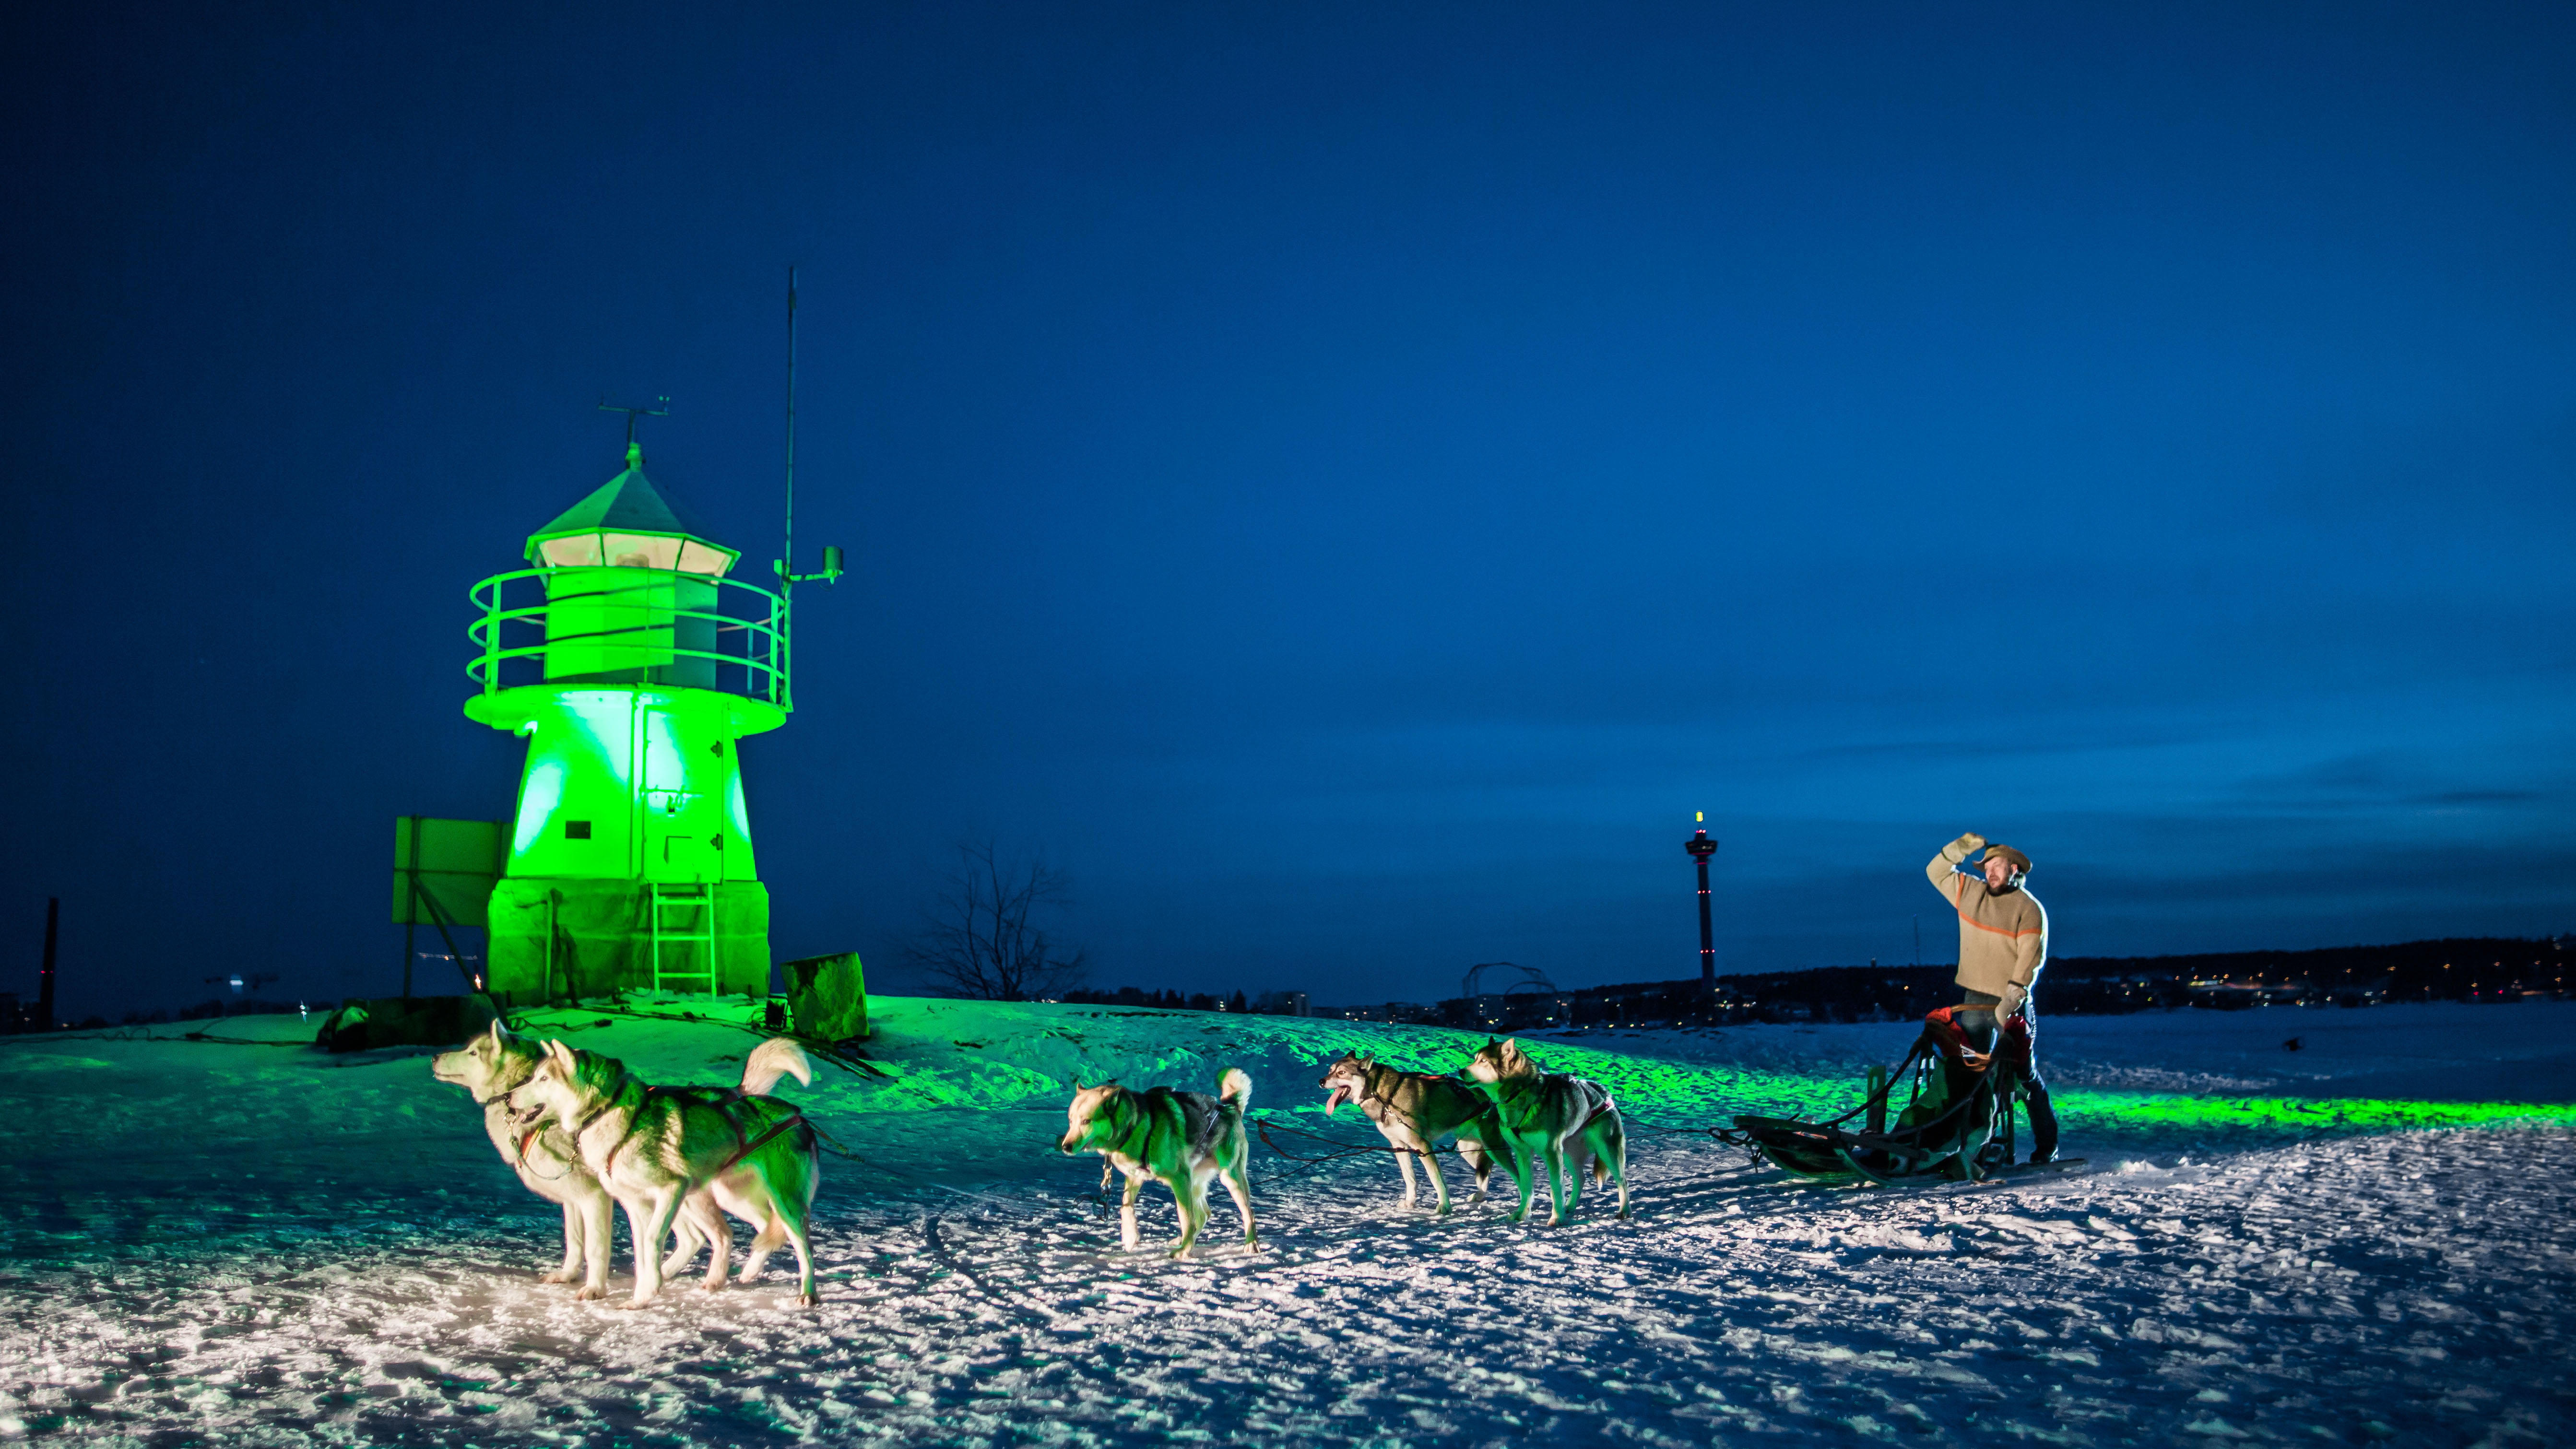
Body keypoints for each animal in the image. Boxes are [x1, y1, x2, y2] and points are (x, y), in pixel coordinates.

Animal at [427, 1024, 721, 1297]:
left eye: (473, 1052)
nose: (434, 1056)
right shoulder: (573, 1199)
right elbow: (575, 1242)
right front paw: (568, 1275)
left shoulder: (594, 1197)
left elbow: (595, 1248)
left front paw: (595, 1289)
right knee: (692, 1239)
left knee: (696, 1237)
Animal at [507, 1039, 819, 1307]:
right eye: (535, 1077)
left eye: (544, 1079)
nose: (508, 1098)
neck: (612, 1115)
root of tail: (796, 1114)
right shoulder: (635, 1203)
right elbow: (642, 1250)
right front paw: (642, 1296)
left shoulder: (672, 1190)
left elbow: (651, 1240)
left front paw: (648, 1290)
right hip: (727, 1196)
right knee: (759, 1229)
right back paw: (739, 1274)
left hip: (784, 1202)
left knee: (802, 1246)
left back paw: (808, 1294)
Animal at [1056, 1071, 1257, 1266]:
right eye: (1071, 1121)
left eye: (1086, 1121)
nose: (1065, 1146)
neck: (1136, 1126)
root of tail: (1229, 1107)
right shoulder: (1136, 1176)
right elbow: (1126, 1206)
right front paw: (1130, 1236)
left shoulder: (1179, 1179)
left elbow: (1185, 1217)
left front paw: (1183, 1251)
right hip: (1195, 1183)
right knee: (1204, 1214)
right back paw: (1185, 1240)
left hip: (1229, 1178)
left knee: (1246, 1212)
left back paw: (1250, 1244)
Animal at [1319, 1050, 1514, 1220]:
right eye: (1330, 1071)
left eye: (1342, 1073)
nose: (1321, 1081)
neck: (1386, 1095)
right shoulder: (1399, 1146)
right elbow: (1409, 1178)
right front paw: (1410, 1203)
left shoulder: (1422, 1146)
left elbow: (1436, 1179)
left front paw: (1445, 1206)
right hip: (1468, 1149)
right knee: (1486, 1169)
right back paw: (1480, 1195)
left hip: (1494, 1149)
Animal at [1473, 1039, 1628, 1230]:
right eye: (1475, 1059)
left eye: (1484, 1061)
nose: (1462, 1071)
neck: (1522, 1094)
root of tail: (1606, 1094)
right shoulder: (1523, 1153)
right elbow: (1526, 1187)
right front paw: (1522, 1215)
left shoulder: (1551, 1153)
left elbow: (1557, 1188)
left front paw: (1557, 1218)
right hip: (1569, 1155)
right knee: (1581, 1178)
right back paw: (1570, 1206)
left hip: (1608, 1151)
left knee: (1622, 1181)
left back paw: (1625, 1212)